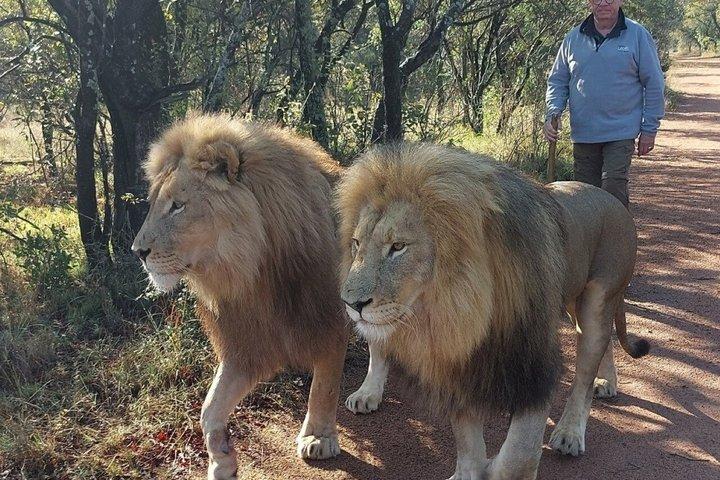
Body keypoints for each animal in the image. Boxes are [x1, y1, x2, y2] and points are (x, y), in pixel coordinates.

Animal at [131, 113, 348, 480]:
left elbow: (325, 385)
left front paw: (318, 438)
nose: (138, 252)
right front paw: (222, 460)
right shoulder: (245, 342)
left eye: (178, 206)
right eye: (155, 204)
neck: (252, 271)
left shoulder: (326, 319)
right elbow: (209, 408)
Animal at [337, 143, 649, 479]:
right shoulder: (459, 364)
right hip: (571, 301)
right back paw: (607, 382)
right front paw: (467, 471)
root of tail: (613, 200)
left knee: (585, 373)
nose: (351, 304)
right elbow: (468, 443)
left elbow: (517, 455)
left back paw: (570, 431)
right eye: (356, 244)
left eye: (398, 247)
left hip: (597, 299)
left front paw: (499, 466)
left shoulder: (532, 365)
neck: (458, 307)